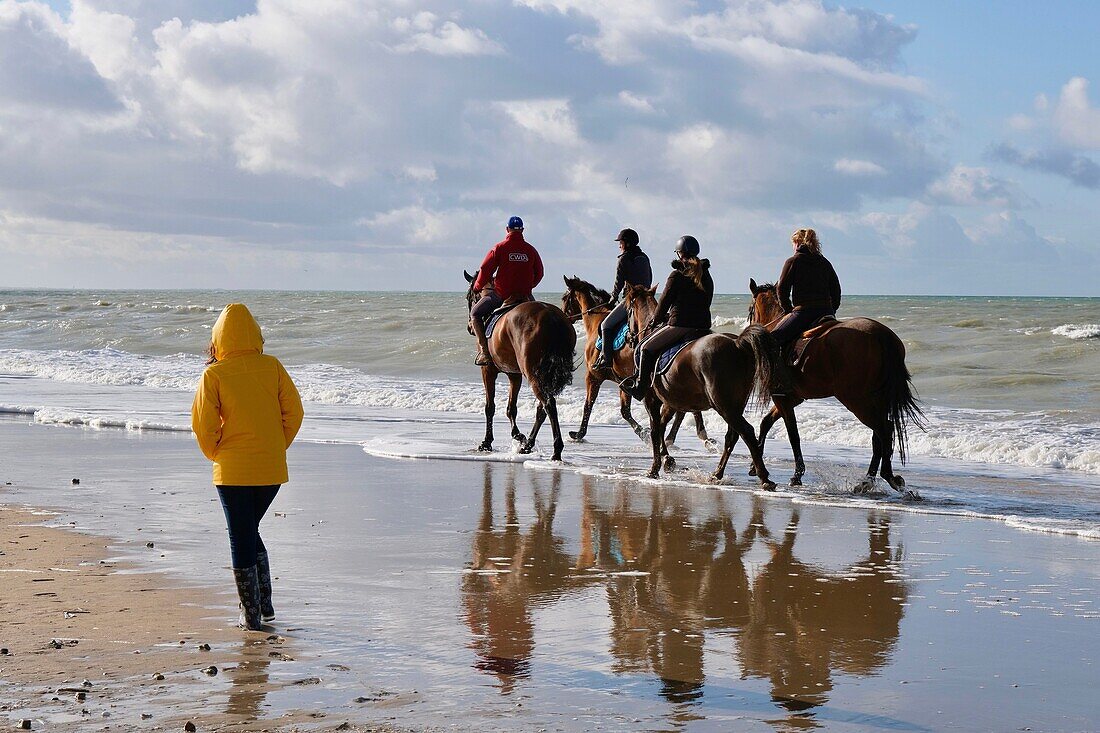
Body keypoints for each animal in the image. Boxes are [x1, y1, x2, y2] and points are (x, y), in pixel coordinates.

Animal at [464, 268, 580, 462]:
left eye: (469, 296)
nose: (469, 327)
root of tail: (551, 316)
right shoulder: (514, 374)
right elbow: (511, 408)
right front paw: (518, 436)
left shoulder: (487, 370)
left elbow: (490, 407)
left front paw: (487, 443)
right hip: (542, 375)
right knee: (542, 408)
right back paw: (528, 445)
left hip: (533, 373)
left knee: (548, 404)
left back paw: (556, 449)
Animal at [563, 272, 717, 444]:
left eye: (564, 298)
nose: (564, 317)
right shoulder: (624, 380)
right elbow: (625, 410)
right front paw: (644, 433)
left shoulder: (593, 376)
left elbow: (588, 405)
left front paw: (578, 434)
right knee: (685, 409)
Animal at [624, 283, 778, 484]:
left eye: (627, 310)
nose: (628, 338)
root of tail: (737, 343)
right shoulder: (671, 402)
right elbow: (662, 426)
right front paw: (667, 460)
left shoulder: (652, 400)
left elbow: (655, 430)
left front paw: (655, 468)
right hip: (735, 404)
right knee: (732, 436)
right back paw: (717, 474)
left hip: (724, 405)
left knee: (746, 431)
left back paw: (763, 476)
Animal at [743, 277, 924, 493]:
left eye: (750, 310)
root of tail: (881, 335)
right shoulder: (791, 398)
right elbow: (766, 422)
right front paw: (755, 465)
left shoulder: (782, 398)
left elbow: (793, 435)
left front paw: (797, 475)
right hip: (876, 399)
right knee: (878, 437)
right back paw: (868, 481)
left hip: (856, 400)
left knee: (884, 430)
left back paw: (886, 477)